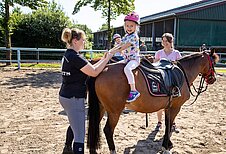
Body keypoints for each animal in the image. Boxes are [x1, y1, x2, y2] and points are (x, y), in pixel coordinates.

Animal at [87, 50, 219, 153]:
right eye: (214, 63)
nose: (213, 79)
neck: (183, 72)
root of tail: (101, 70)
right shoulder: (175, 107)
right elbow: (169, 125)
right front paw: (166, 146)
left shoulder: (168, 107)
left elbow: (167, 124)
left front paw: (168, 144)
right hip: (114, 111)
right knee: (108, 130)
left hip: (101, 108)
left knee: (94, 127)